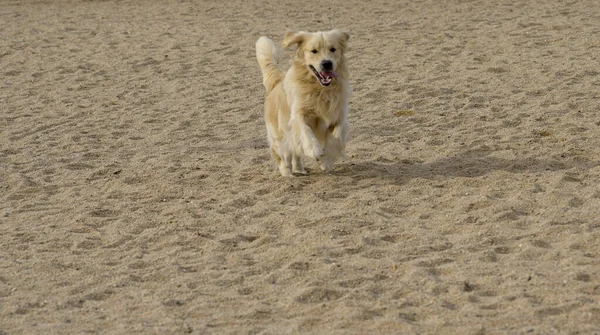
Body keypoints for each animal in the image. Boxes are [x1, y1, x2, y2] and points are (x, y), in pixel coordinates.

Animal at [254, 29, 350, 177]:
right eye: (314, 51)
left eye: (333, 49)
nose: (327, 63)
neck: (320, 90)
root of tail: (277, 80)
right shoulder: (297, 116)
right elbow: (306, 131)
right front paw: (314, 150)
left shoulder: (339, 117)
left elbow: (336, 138)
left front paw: (326, 160)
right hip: (280, 135)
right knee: (282, 155)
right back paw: (287, 174)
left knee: (295, 153)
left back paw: (299, 169)